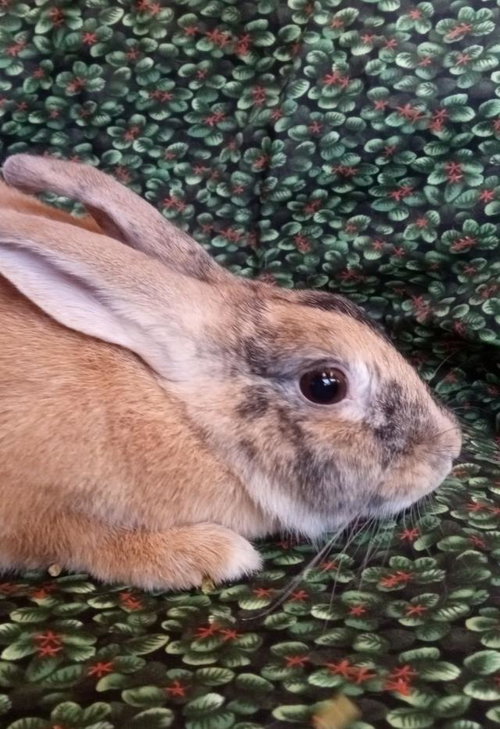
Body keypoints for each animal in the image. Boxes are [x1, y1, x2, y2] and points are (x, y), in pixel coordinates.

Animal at [0, 154, 461, 591]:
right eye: (325, 385)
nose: (450, 450)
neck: (189, 425)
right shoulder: (36, 512)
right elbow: (85, 540)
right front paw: (213, 554)